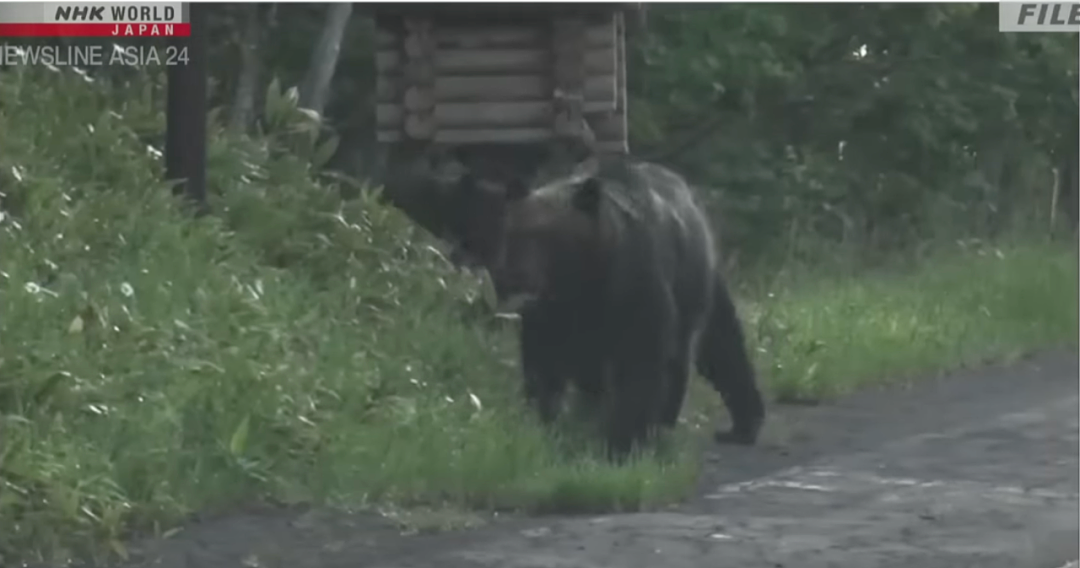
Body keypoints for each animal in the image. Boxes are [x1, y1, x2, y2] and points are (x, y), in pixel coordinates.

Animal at [456, 156, 765, 456]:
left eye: (548, 236)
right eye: (516, 233)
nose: (514, 276)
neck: (584, 276)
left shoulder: (635, 284)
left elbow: (641, 360)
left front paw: (621, 443)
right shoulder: (553, 310)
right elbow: (543, 360)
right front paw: (545, 422)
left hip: (695, 282)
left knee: (714, 346)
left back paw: (725, 425)